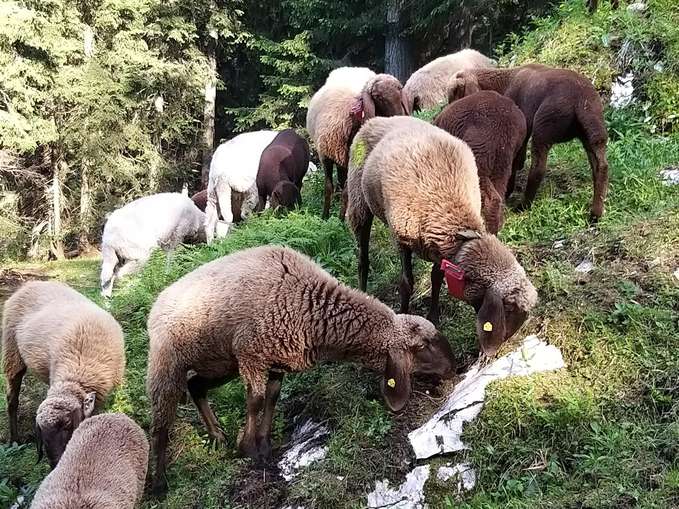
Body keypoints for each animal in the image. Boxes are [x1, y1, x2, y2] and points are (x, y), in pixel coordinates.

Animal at [146, 245, 454, 492]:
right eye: (422, 345)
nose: (454, 366)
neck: (310, 303)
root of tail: (158, 301)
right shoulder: (251, 354)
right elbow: (255, 400)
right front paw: (249, 449)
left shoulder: (275, 359)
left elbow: (271, 398)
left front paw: (263, 443)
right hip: (169, 364)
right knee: (160, 424)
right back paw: (159, 482)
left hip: (220, 362)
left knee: (195, 385)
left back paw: (217, 436)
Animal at [308, 68, 410, 219]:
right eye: (377, 96)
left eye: (399, 89)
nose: (400, 117)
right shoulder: (325, 155)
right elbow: (328, 187)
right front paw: (326, 217)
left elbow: (348, 190)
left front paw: (341, 219)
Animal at [348, 115, 540, 354]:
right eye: (509, 309)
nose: (496, 351)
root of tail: (378, 119)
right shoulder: (402, 238)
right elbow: (406, 283)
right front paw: (404, 317)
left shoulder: (440, 250)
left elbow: (436, 278)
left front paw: (433, 317)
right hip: (359, 201)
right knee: (362, 255)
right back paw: (362, 291)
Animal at [456, 64, 612, 220]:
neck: (505, 81)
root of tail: (581, 102)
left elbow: (516, 160)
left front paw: (509, 190)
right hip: (594, 132)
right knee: (601, 167)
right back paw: (596, 214)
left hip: (544, 127)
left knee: (538, 168)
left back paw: (523, 206)